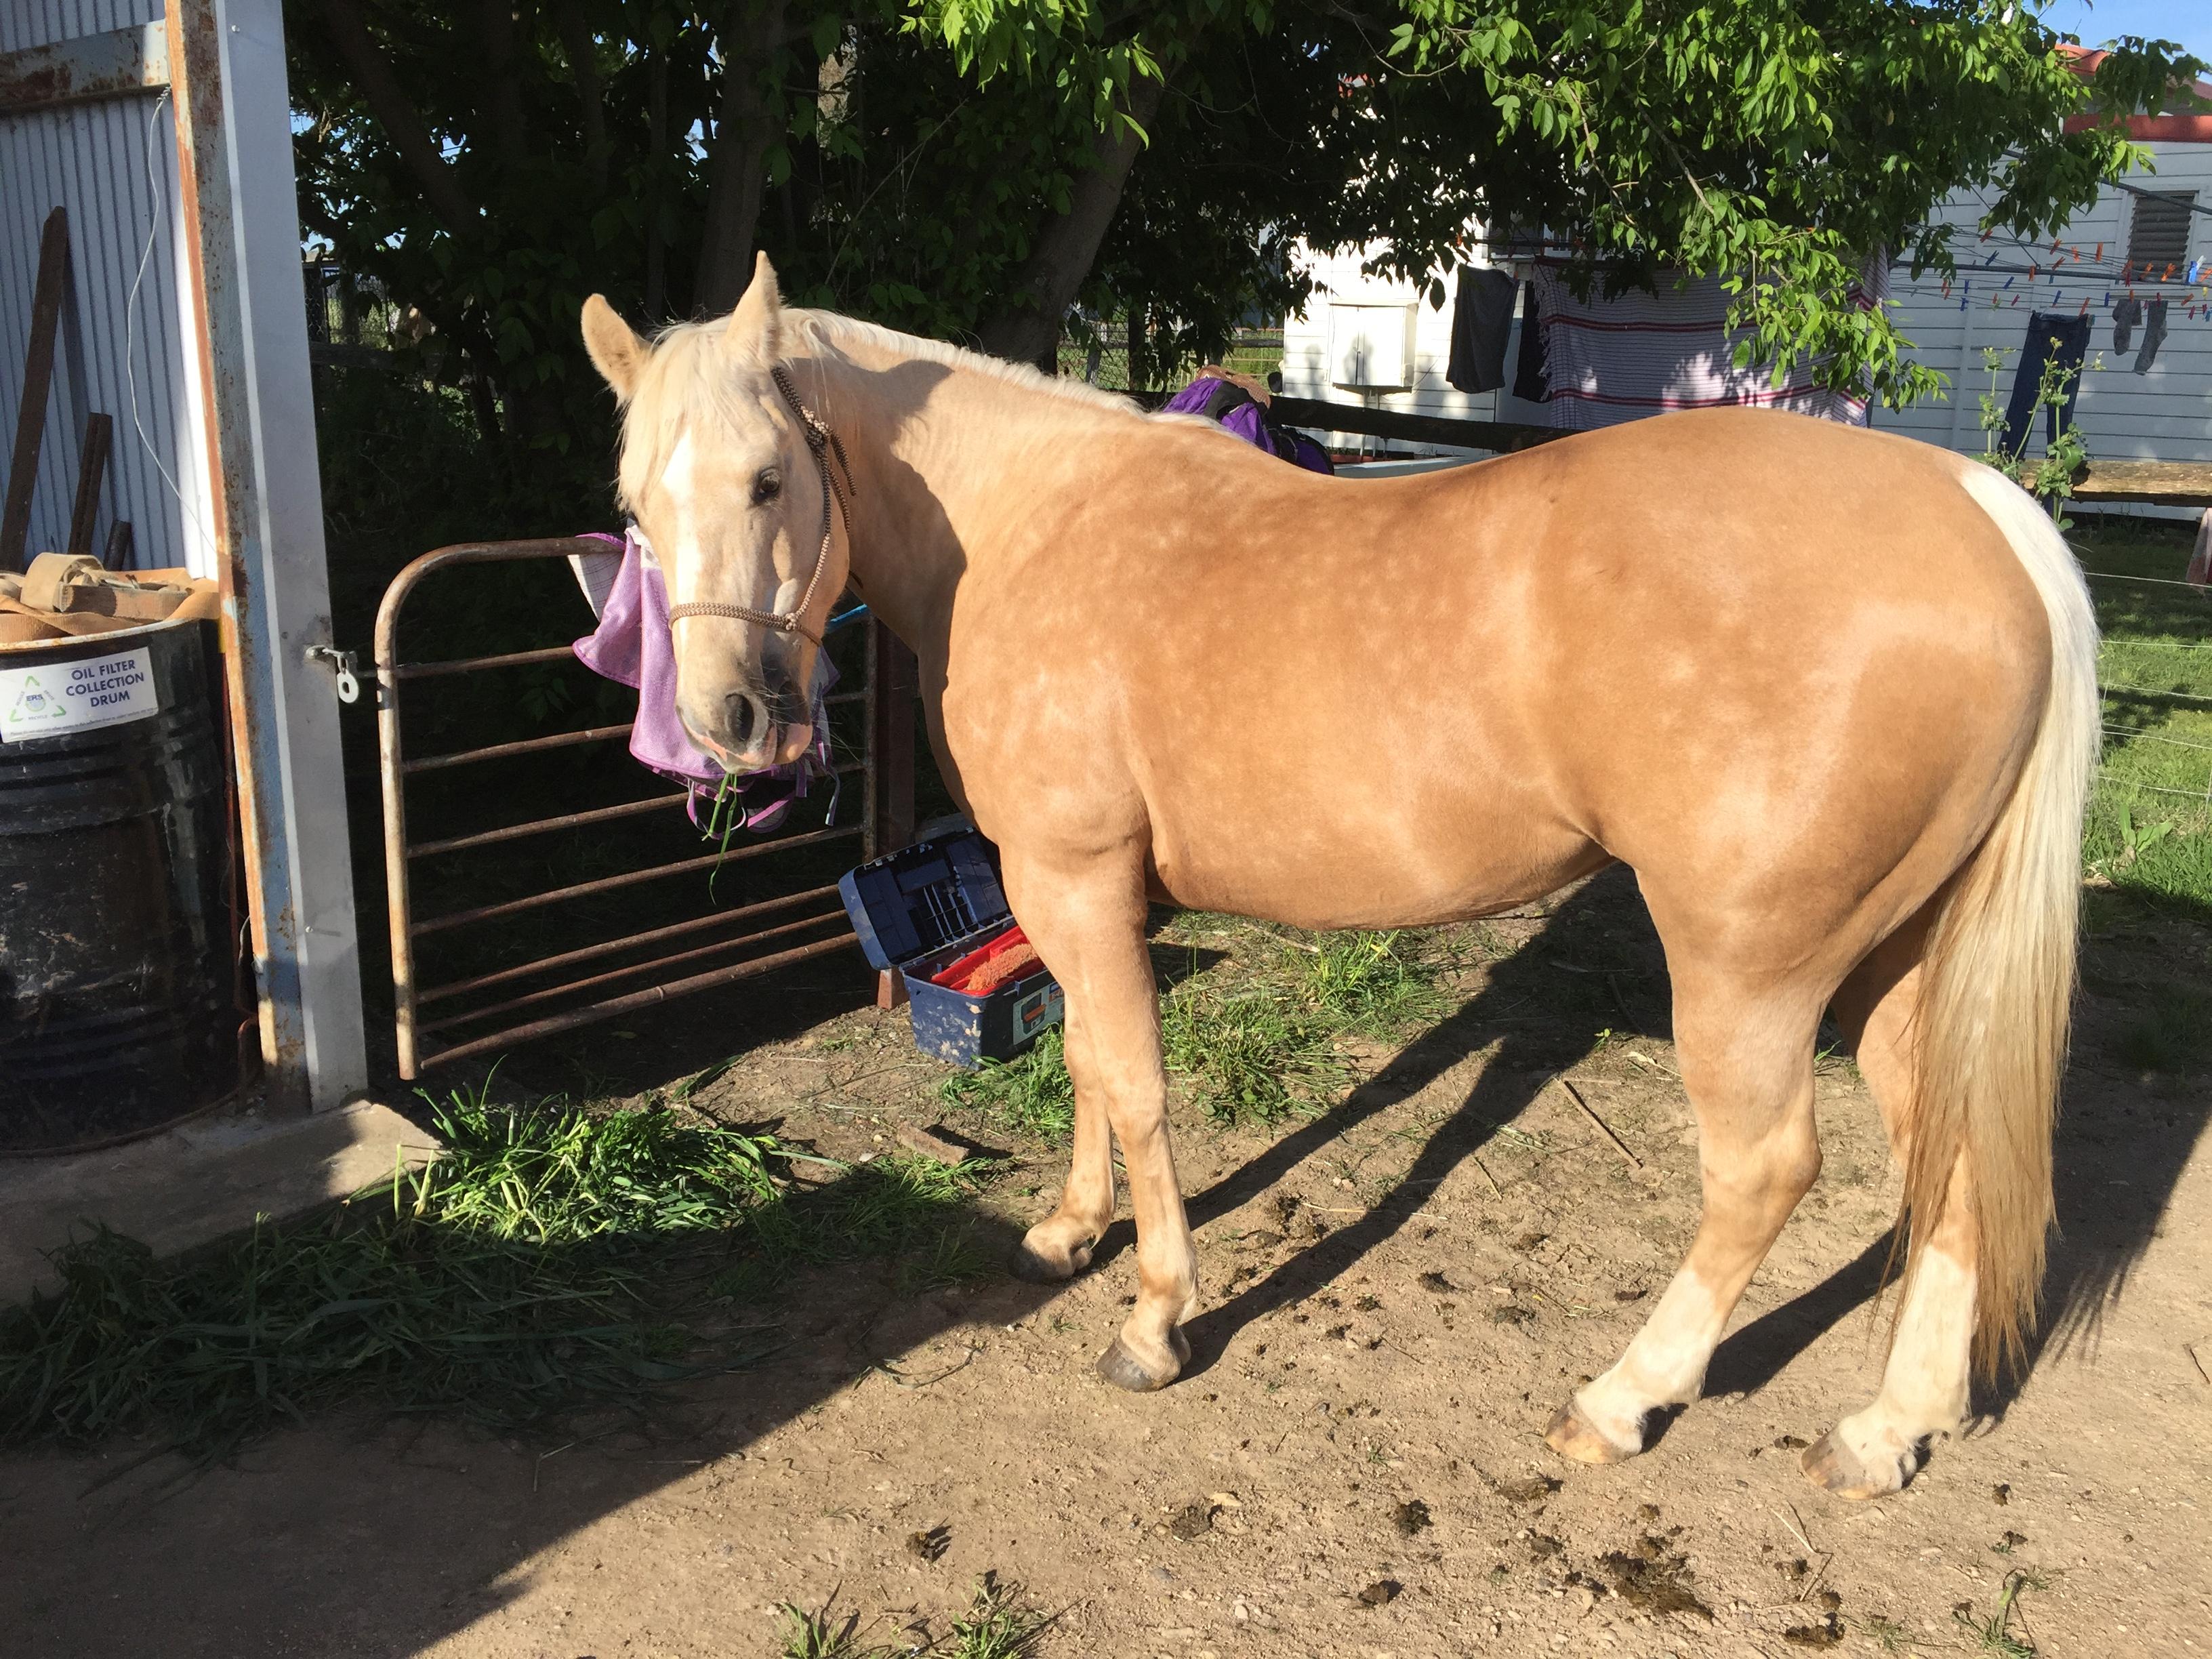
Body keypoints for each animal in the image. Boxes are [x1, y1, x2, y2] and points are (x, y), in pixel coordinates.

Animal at [579, 255, 2097, 1499]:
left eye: (769, 477)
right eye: (632, 502)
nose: (727, 724)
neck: (1031, 527)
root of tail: (1982, 513)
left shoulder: (1075, 879)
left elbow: (1135, 1083)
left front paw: (1155, 1316)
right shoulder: (1056, 891)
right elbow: (1083, 1065)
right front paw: (1069, 1231)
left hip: (1748, 969)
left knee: (1763, 1174)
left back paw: (1620, 1400)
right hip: (1902, 958)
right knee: (1951, 1159)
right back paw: (1886, 1429)